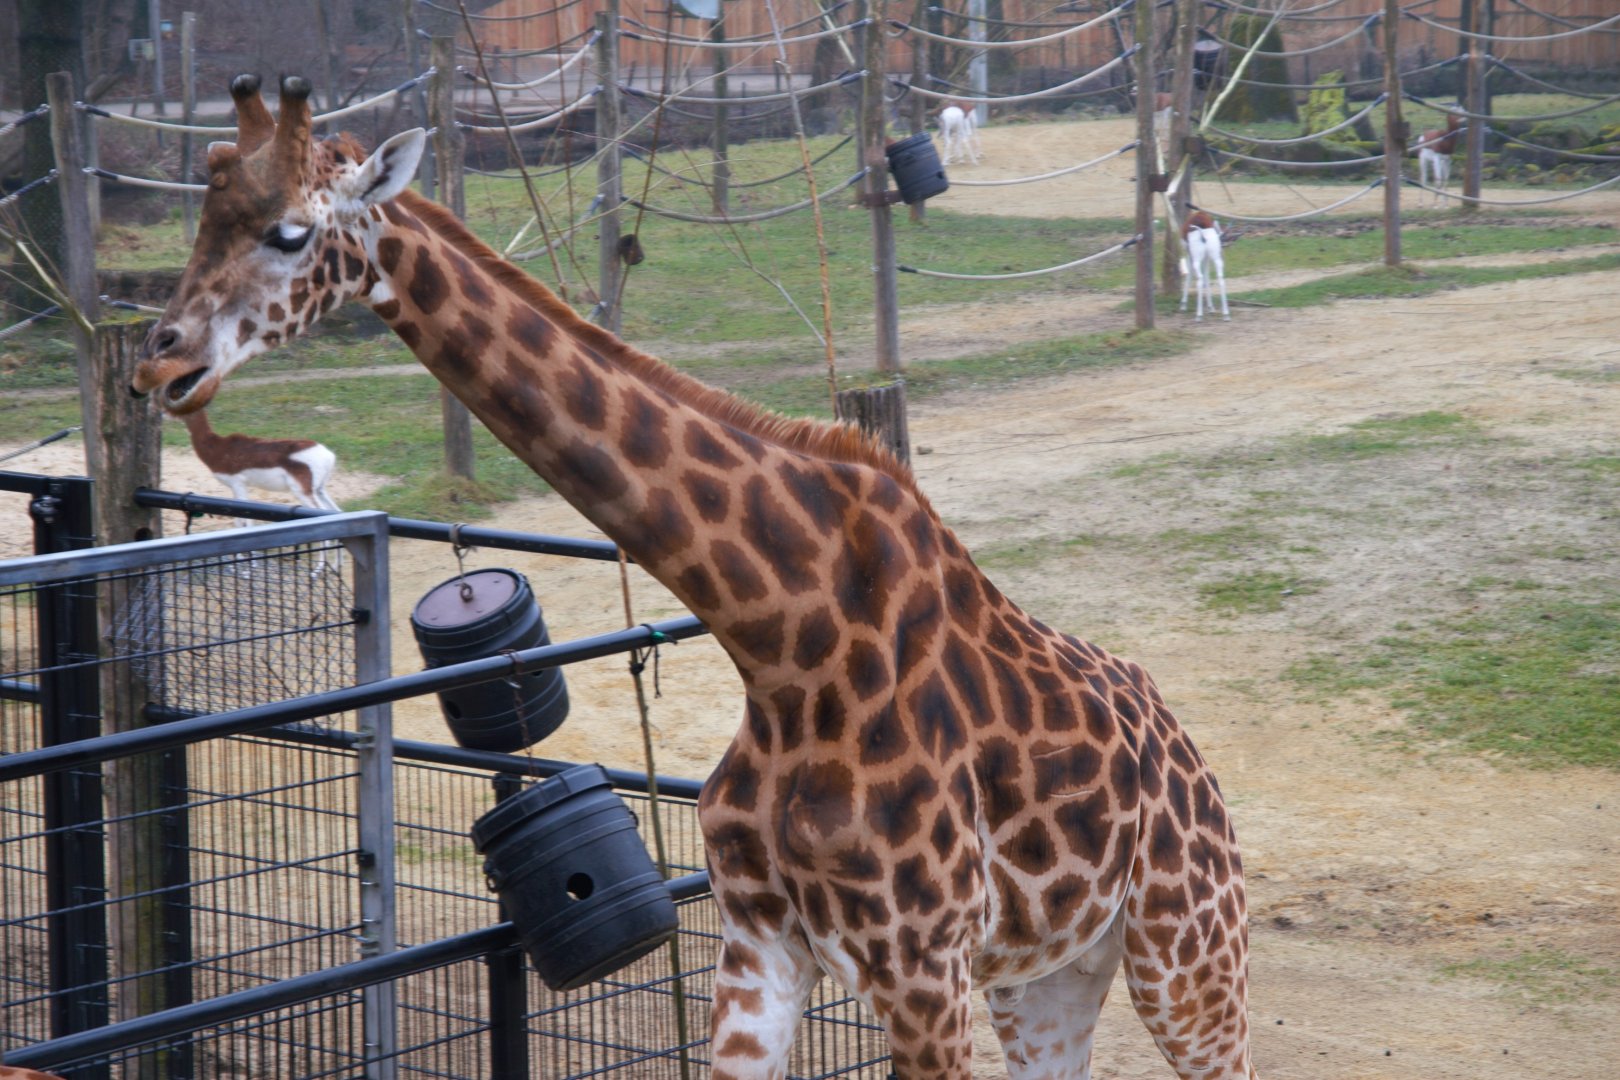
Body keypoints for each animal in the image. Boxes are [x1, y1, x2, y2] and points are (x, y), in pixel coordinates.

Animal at [131, 75, 1259, 1080]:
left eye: (289, 233)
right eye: (204, 217)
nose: (161, 361)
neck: (783, 642)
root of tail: (1193, 759)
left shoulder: (921, 966)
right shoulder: (758, 947)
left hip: (1189, 956)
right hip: (1048, 975)